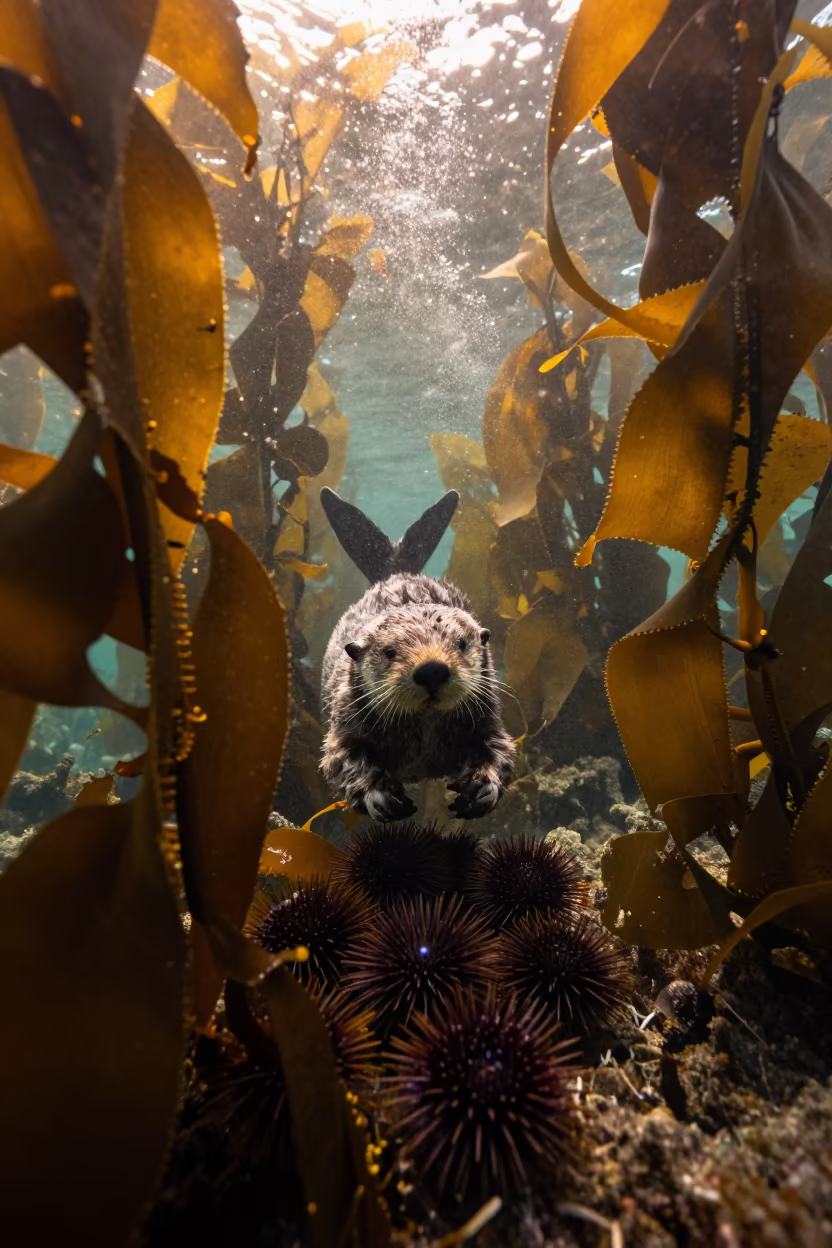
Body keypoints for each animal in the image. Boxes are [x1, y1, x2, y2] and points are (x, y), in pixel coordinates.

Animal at [319, 487, 515, 821]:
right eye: (389, 651)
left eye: (461, 644)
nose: (432, 670)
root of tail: (396, 569)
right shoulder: (345, 723)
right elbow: (342, 761)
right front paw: (381, 797)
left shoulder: (488, 717)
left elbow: (498, 751)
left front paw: (481, 789)